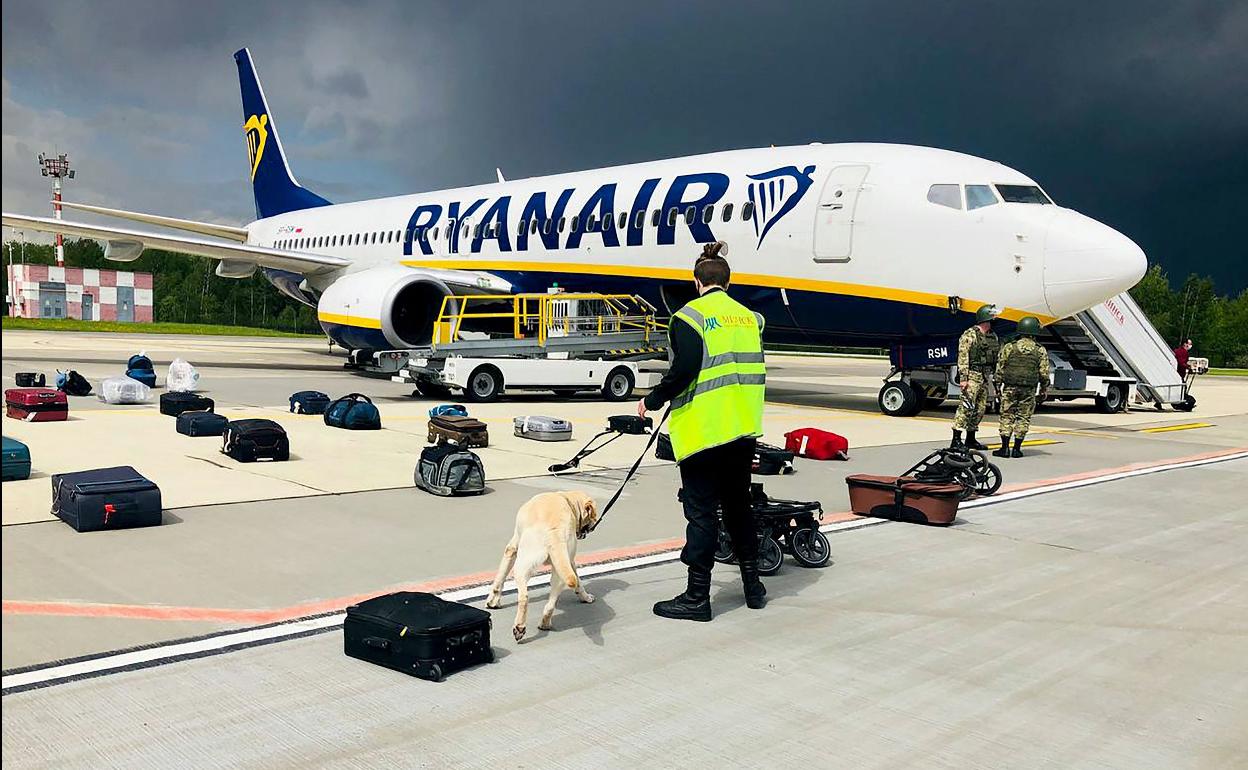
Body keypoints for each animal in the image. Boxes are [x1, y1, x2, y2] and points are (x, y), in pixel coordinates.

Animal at [486, 489, 599, 638]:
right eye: (592, 516)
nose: (595, 524)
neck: (566, 498)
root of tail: (555, 532)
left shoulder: (511, 549)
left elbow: (499, 579)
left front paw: (492, 602)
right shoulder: (570, 562)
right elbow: (579, 583)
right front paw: (585, 597)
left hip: (522, 566)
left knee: (524, 597)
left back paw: (519, 627)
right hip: (560, 574)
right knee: (551, 604)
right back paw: (545, 624)